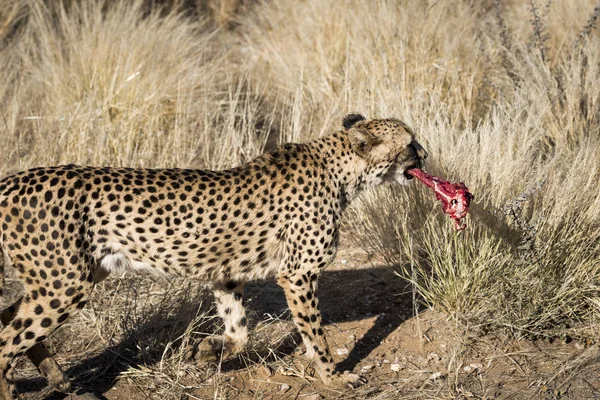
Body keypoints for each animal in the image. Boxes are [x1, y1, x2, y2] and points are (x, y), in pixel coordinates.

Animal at [0, 112, 426, 396]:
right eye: (409, 143)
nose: (425, 154)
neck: (341, 170)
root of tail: (15, 179)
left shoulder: (226, 273)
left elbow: (239, 331)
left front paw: (206, 351)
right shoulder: (297, 274)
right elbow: (316, 335)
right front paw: (334, 377)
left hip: (67, 277)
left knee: (11, 318)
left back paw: (58, 379)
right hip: (65, 285)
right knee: (8, 338)